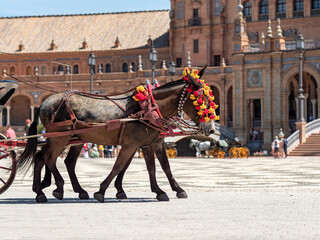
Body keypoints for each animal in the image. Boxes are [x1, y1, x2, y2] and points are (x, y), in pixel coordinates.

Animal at [15, 71, 215, 202]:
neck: (148, 108)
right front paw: (102, 191)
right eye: (201, 100)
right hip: (59, 137)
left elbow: (159, 167)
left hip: (73, 139)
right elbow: (119, 165)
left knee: (59, 160)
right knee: (46, 157)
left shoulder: (150, 143)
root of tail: (43, 103)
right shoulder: (132, 144)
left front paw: (169, 190)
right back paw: (50, 189)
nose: (211, 129)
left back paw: (60, 189)